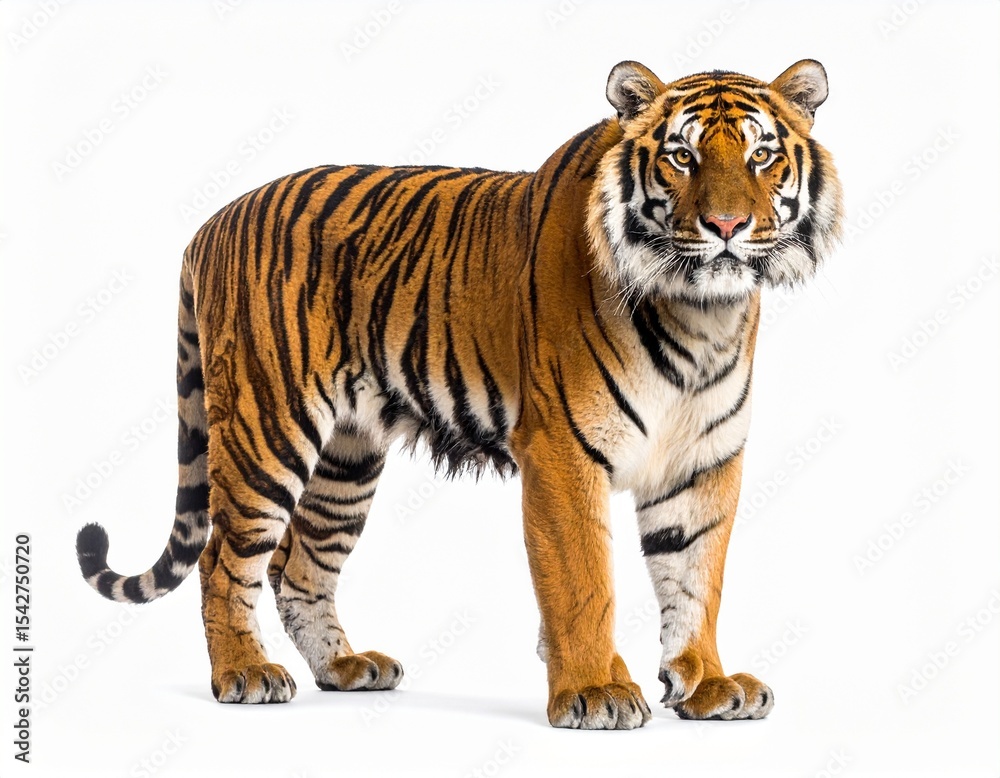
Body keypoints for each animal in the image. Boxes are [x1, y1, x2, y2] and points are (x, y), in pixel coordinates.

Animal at [76, 58, 842, 729]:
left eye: (762, 157)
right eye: (682, 157)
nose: (727, 228)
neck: (699, 313)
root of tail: (211, 224)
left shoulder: (703, 461)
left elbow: (695, 579)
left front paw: (708, 684)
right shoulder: (562, 452)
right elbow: (584, 581)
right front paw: (593, 690)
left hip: (346, 459)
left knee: (299, 569)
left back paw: (345, 668)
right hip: (268, 428)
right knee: (222, 560)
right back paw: (244, 673)